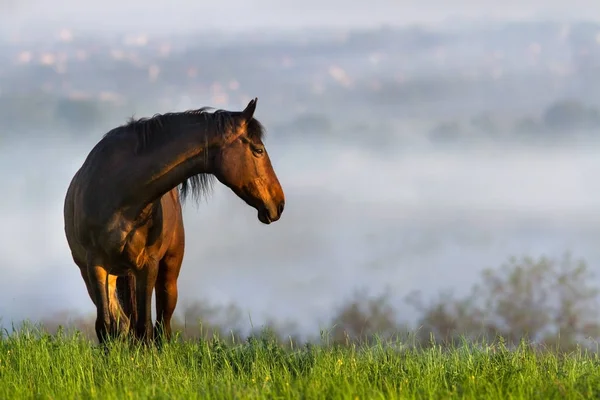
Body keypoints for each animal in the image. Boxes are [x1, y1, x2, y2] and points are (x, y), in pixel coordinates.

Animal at [63, 99, 286, 344]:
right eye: (258, 150)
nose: (279, 204)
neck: (119, 192)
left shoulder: (147, 265)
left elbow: (145, 327)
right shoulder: (96, 265)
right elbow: (106, 326)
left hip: (168, 273)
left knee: (162, 325)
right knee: (122, 323)